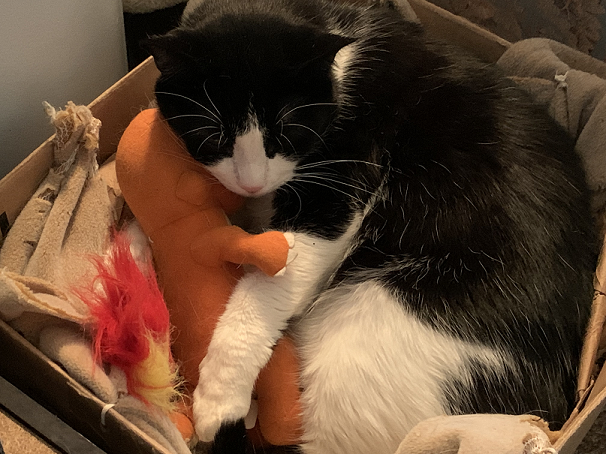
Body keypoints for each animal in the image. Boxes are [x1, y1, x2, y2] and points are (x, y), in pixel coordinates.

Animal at [144, 0, 600, 454]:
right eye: (210, 133)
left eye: (290, 130)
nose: (252, 183)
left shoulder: (340, 188)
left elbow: (267, 285)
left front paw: (218, 397)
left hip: (356, 363)